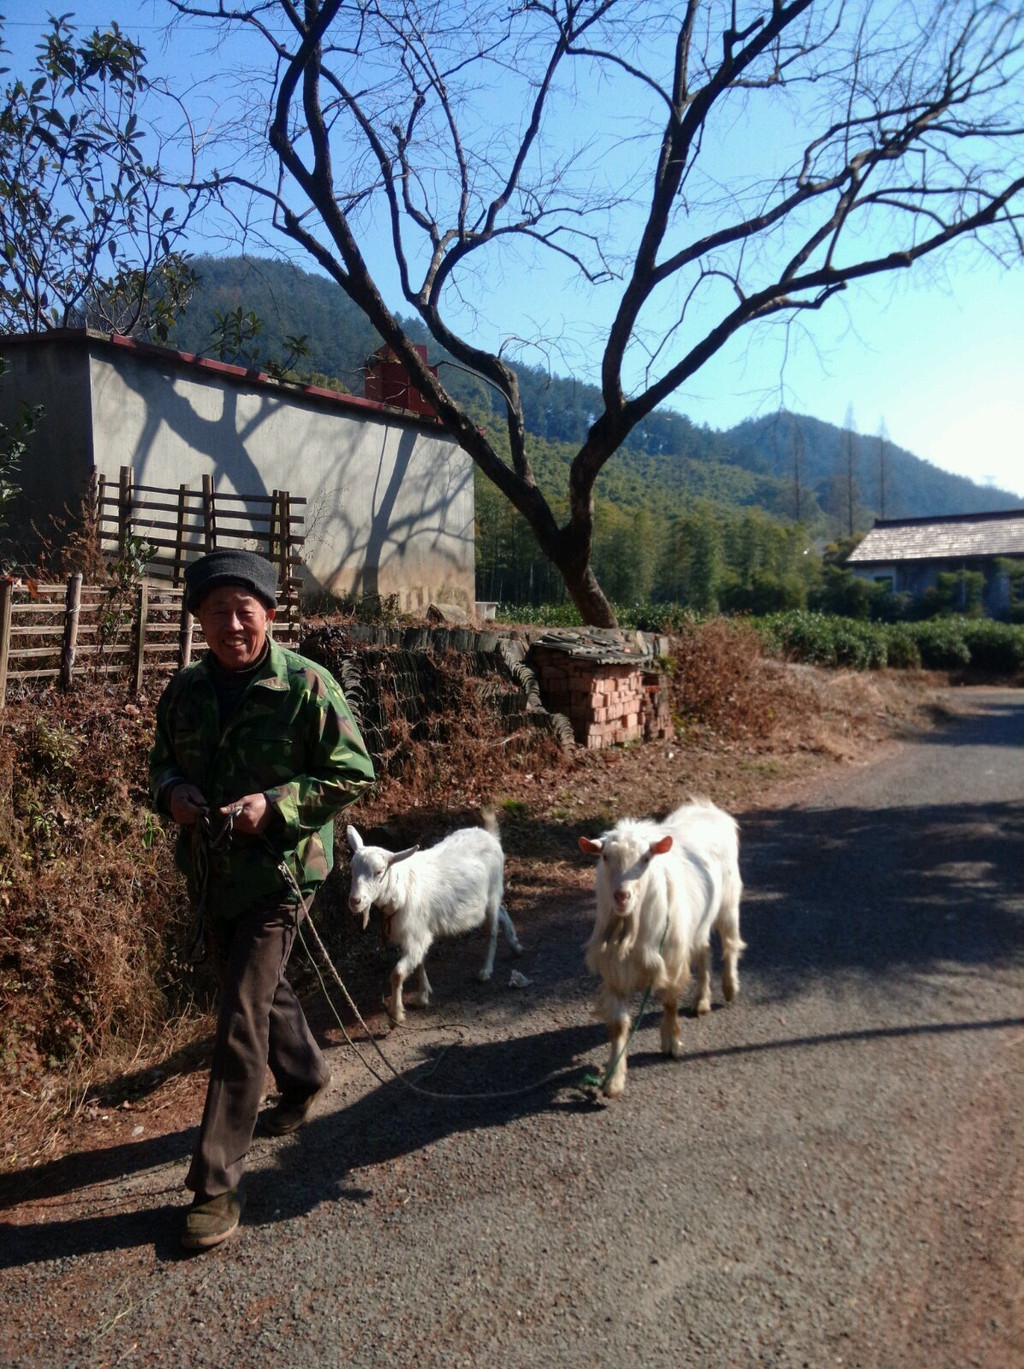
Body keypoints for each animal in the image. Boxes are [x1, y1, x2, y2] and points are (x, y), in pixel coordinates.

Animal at [346, 804, 520, 1024]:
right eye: (352, 868)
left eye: (379, 872)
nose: (355, 901)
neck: (402, 889)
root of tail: (490, 835)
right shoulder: (416, 935)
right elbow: (418, 963)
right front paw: (423, 995)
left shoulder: (416, 936)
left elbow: (397, 974)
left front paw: (397, 1012)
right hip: (487, 900)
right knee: (501, 912)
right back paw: (515, 945)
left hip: (493, 891)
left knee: (492, 929)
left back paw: (486, 970)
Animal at [574, 799, 744, 1095]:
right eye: (605, 857)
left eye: (646, 858)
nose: (621, 896)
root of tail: (707, 807)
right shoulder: (615, 972)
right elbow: (618, 1025)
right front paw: (613, 1079)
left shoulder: (671, 960)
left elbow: (669, 1001)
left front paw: (670, 1044)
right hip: (697, 923)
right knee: (704, 950)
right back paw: (701, 1001)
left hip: (728, 902)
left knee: (730, 944)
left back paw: (730, 987)